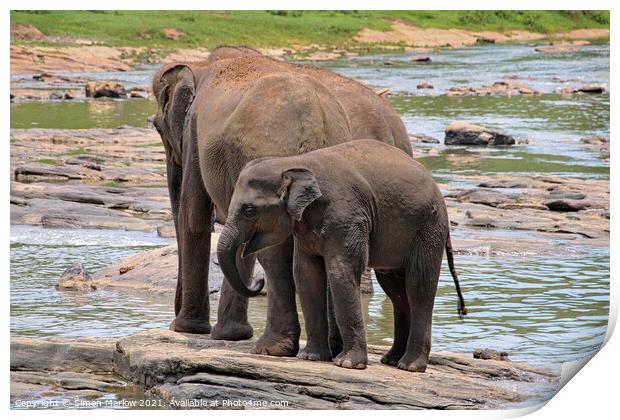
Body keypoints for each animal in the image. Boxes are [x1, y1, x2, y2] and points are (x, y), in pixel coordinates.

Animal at [217, 140, 464, 370]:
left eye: (249, 210)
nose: (259, 281)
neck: (294, 162)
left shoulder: (346, 216)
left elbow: (341, 272)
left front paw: (348, 364)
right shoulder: (304, 226)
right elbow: (306, 275)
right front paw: (312, 357)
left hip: (429, 228)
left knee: (418, 286)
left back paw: (410, 366)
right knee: (396, 291)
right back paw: (391, 360)